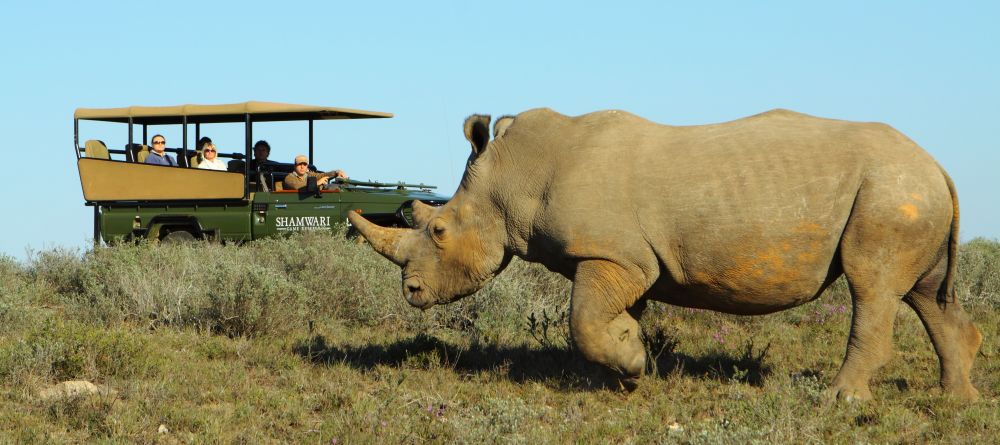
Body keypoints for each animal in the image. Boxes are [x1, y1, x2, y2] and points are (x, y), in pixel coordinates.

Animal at [349, 108, 981, 401]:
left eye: (438, 231)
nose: (412, 293)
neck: (513, 177)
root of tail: (937, 163)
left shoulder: (611, 256)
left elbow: (583, 322)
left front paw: (629, 367)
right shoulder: (625, 261)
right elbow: (608, 320)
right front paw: (629, 369)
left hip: (891, 190)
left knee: (872, 287)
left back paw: (841, 399)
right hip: (907, 191)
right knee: (925, 293)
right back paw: (957, 397)